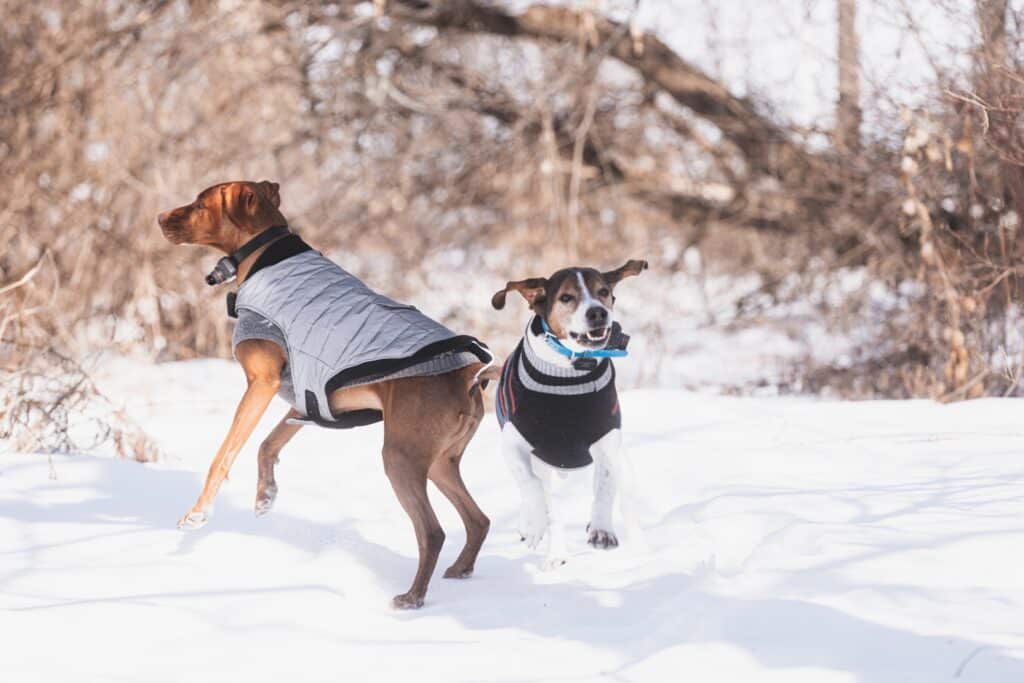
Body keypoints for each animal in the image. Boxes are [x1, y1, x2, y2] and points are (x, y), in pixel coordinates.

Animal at [157, 181, 497, 610]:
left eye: (200, 204)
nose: (159, 218)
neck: (266, 255)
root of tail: (467, 374)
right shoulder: (304, 393)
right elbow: (268, 444)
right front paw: (266, 494)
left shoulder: (262, 382)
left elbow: (224, 455)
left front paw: (199, 513)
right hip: (440, 462)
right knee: (478, 519)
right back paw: (461, 569)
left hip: (400, 459)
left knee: (432, 532)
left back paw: (412, 597)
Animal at [489, 259, 647, 569]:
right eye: (566, 297)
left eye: (603, 291)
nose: (598, 312)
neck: (569, 369)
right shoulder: (514, 445)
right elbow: (535, 490)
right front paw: (540, 530)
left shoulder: (608, 441)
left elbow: (608, 487)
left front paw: (605, 531)